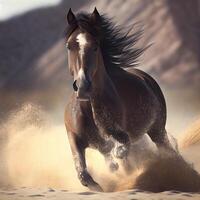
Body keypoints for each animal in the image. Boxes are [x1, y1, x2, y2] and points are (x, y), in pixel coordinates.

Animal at [64, 8, 173, 192]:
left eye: (95, 46)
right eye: (69, 46)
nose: (83, 86)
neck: (90, 110)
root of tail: (146, 77)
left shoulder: (121, 134)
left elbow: (121, 150)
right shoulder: (74, 137)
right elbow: (83, 174)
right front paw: (100, 185)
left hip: (157, 130)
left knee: (166, 150)